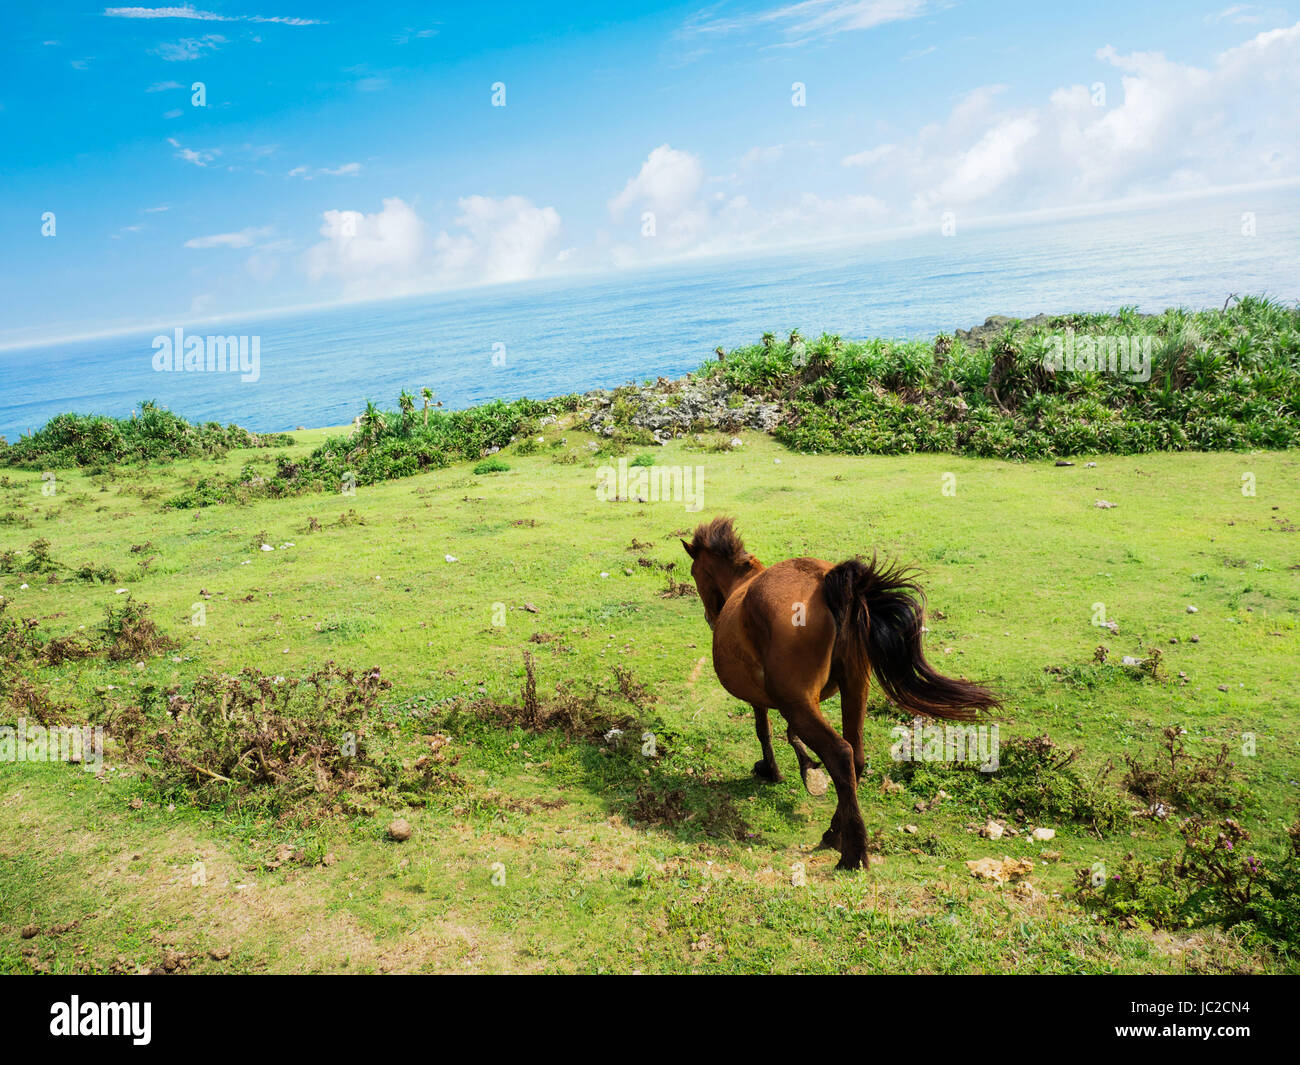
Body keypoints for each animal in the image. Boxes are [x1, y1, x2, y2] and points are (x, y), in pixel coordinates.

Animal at [686, 517, 998, 873]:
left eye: (695, 573)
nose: (711, 617)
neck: (742, 582)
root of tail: (824, 583)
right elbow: (788, 733)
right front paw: (806, 769)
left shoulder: (773, 699)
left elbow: (764, 730)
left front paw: (778, 770)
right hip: (854, 686)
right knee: (855, 757)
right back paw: (835, 832)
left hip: (800, 701)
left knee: (839, 754)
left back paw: (852, 853)